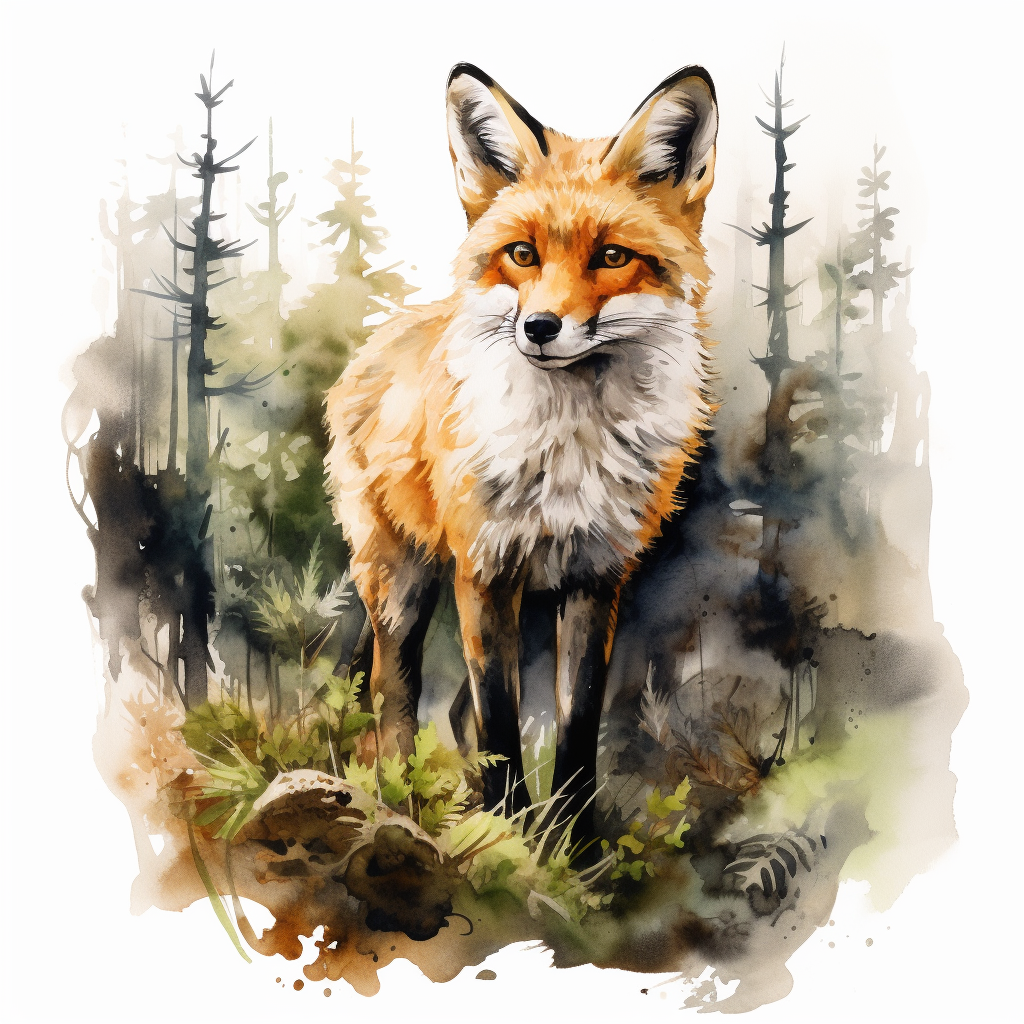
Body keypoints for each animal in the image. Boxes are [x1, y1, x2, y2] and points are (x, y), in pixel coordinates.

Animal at [325, 63, 718, 832]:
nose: (539, 327)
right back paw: (398, 797)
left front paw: (574, 842)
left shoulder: (598, 578)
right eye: (523, 255)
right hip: (404, 584)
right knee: (392, 689)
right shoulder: (482, 573)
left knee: (433, 703)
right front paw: (501, 836)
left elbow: (576, 726)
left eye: (612, 257)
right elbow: (500, 728)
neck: (568, 450)